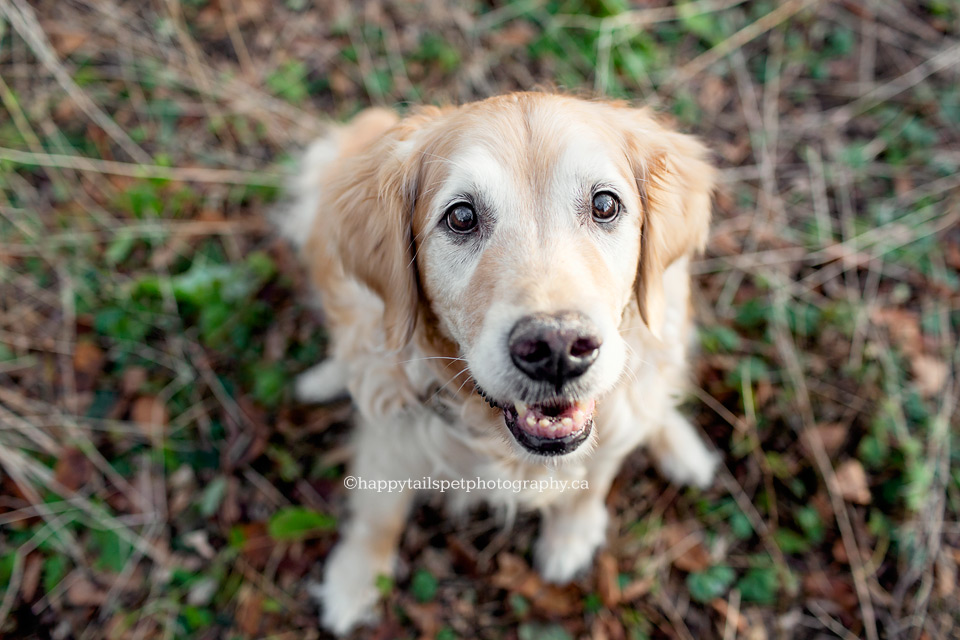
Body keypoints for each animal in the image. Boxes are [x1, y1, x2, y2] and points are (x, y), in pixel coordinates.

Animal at [278, 91, 720, 636]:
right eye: (461, 217)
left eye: (604, 205)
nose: (556, 348)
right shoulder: (392, 438)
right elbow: (379, 513)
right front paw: (354, 581)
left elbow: (593, 480)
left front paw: (570, 537)